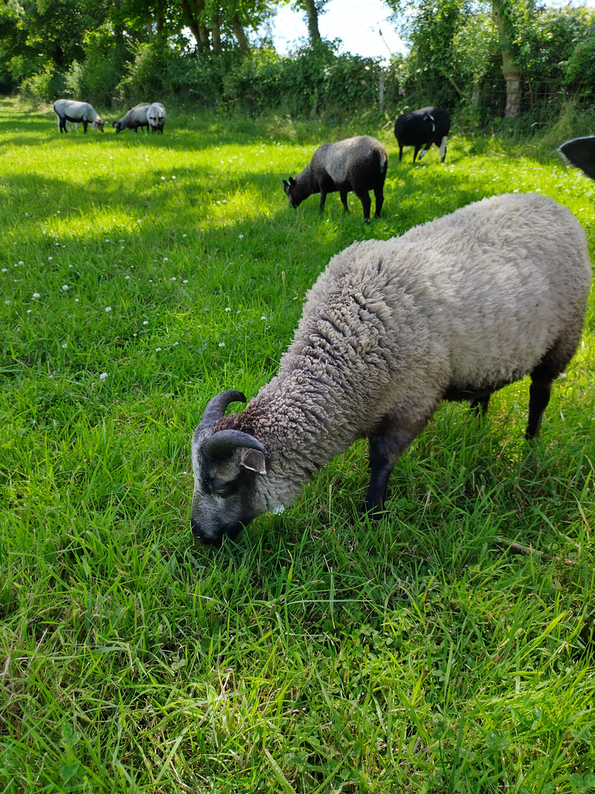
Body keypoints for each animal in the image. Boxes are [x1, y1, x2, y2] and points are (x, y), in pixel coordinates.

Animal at [190, 192, 591, 547]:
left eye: (223, 485)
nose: (199, 535)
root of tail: (550, 202)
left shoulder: (410, 404)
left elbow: (381, 462)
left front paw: (372, 516)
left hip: (564, 338)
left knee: (540, 394)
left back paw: (530, 443)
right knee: (486, 392)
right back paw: (477, 427)